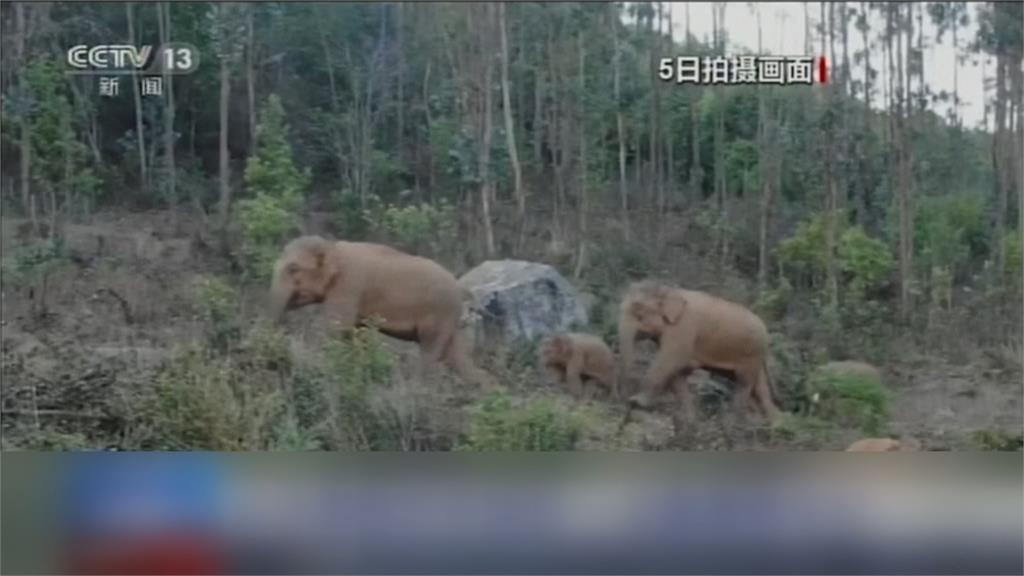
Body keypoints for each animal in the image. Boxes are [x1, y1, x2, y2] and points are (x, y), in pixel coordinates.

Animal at [272, 235, 495, 387]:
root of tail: (459, 288)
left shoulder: (349, 284)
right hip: (449, 319)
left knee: (431, 353)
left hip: (439, 313)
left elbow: (337, 328)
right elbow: (357, 331)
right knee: (455, 356)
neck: (332, 247)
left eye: (293, 268)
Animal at [614, 278, 782, 422]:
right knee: (757, 388)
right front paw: (688, 418)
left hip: (750, 352)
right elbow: (677, 373)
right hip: (753, 353)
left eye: (638, 308)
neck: (669, 290)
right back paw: (771, 422)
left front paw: (637, 401)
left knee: (744, 381)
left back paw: (735, 421)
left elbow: (670, 360)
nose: (624, 402)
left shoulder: (684, 327)